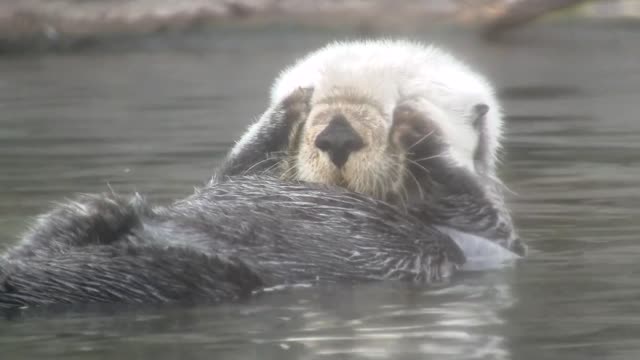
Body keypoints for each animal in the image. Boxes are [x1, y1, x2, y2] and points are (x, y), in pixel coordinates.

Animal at [218, 40, 524, 255]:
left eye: (397, 103)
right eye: (314, 107)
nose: (338, 137)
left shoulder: (486, 239)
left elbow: (469, 205)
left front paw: (416, 116)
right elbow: (235, 170)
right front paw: (290, 104)